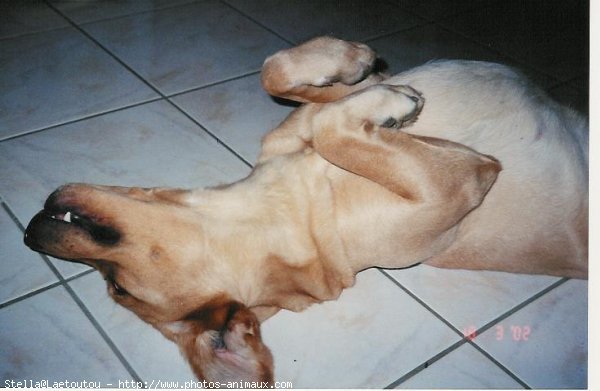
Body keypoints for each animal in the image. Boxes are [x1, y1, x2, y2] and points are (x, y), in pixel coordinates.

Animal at [23, 37, 584, 386]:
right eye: (117, 290)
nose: (29, 234)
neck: (272, 211)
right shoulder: (461, 178)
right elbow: (337, 129)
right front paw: (390, 102)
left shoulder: (307, 122)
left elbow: (279, 75)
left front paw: (355, 60)